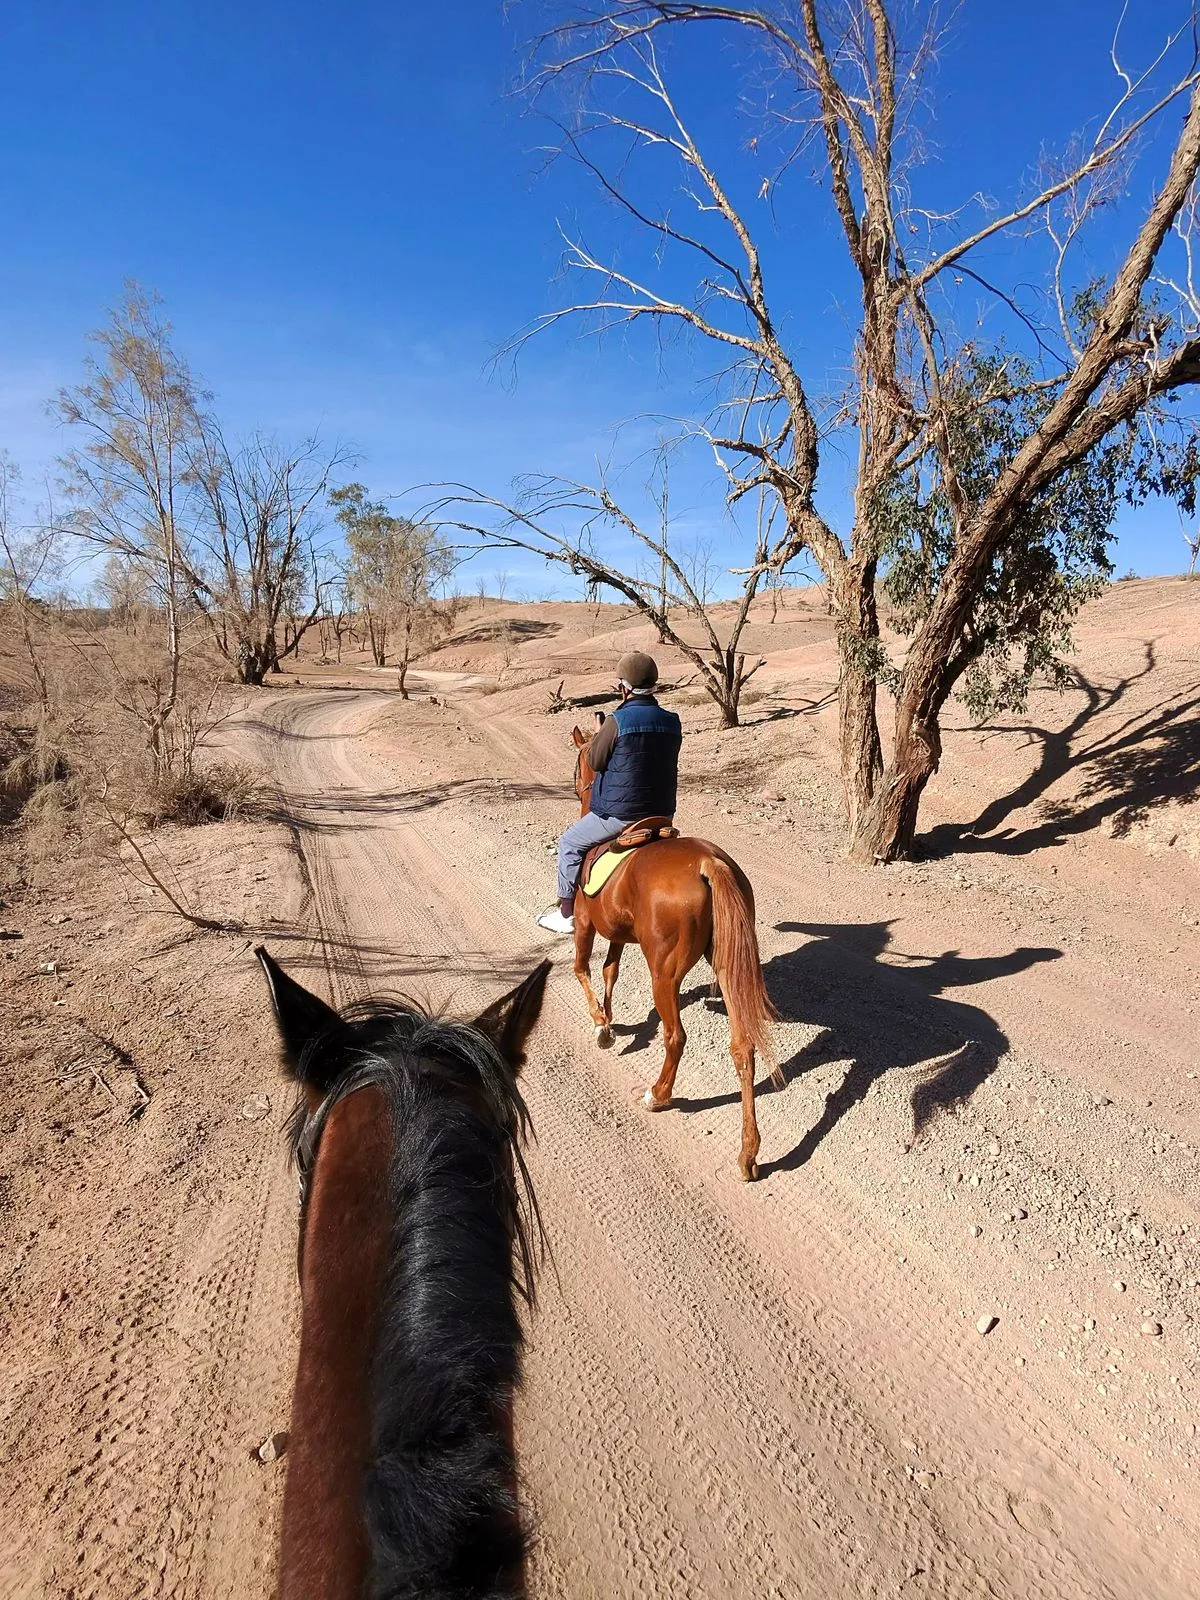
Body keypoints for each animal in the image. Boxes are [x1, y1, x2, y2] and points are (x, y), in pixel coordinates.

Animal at [567, 724, 777, 1181]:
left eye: (577, 765)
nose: (576, 786)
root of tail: (708, 863)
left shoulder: (586, 924)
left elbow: (582, 970)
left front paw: (601, 1025)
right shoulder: (617, 933)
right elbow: (609, 970)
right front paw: (609, 1019)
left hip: (664, 972)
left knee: (676, 1036)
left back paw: (658, 1095)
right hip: (726, 966)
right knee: (743, 1048)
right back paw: (748, 1154)